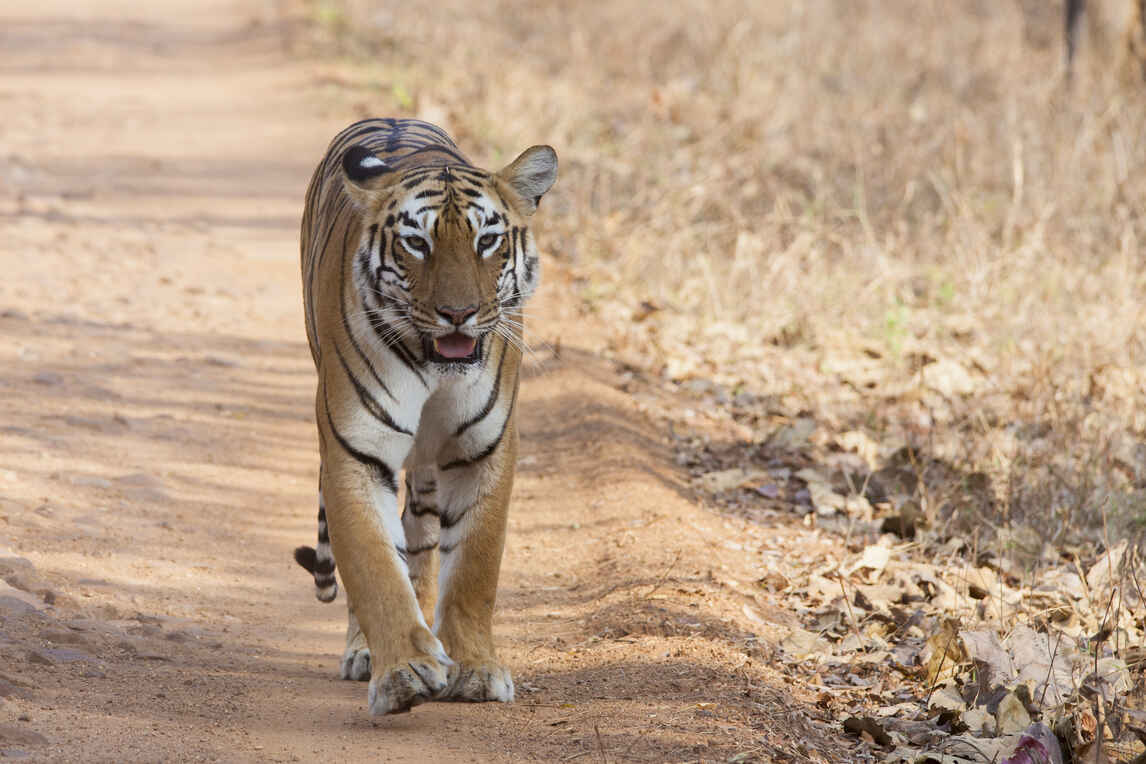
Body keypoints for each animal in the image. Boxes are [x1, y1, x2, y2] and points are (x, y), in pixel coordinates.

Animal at [293, 116, 556, 714]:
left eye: (487, 241)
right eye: (417, 242)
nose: (458, 314)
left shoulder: (483, 450)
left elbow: (474, 568)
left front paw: (475, 669)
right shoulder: (355, 451)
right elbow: (373, 566)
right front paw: (403, 672)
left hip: (430, 472)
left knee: (421, 540)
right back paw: (367, 652)